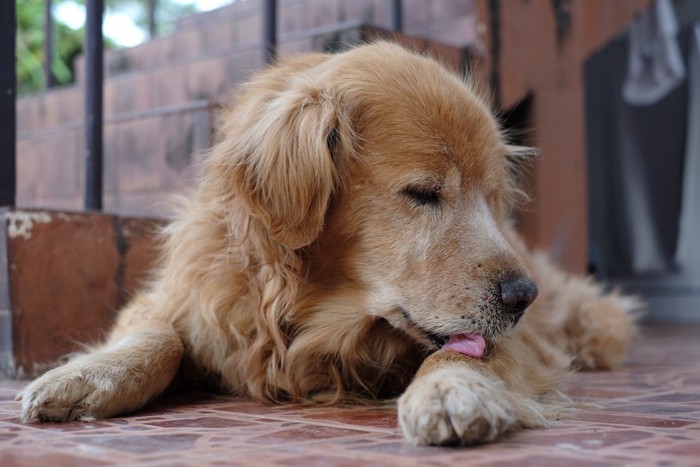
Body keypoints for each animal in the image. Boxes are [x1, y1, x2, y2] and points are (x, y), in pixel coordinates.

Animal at [17, 43, 640, 446]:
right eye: (423, 193)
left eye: (490, 197)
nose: (522, 297)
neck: (307, 311)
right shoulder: (183, 299)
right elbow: (159, 337)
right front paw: (84, 378)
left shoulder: (524, 343)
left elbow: (464, 353)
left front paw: (451, 390)